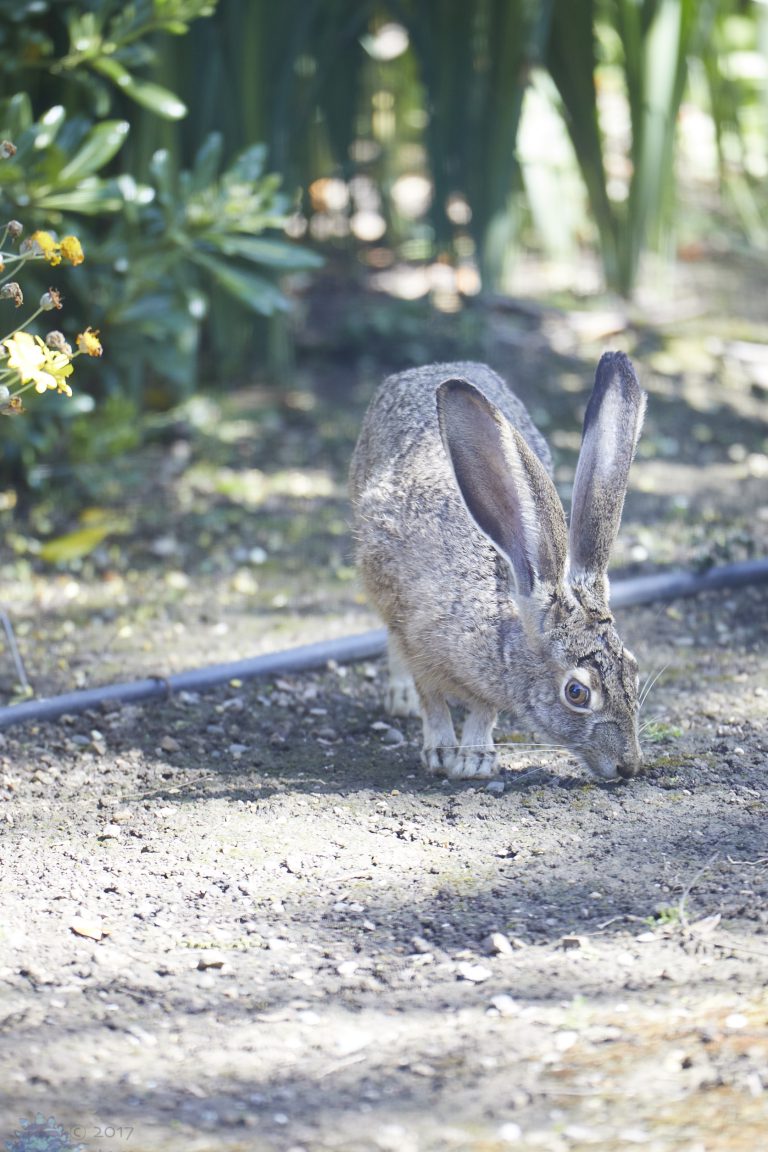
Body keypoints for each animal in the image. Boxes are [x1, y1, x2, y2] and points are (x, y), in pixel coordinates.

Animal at [349, 353, 647, 781]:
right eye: (577, 693)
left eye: (633, 670)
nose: (629, 766)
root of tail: (432, 367)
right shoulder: (418, 640)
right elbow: (431, 698)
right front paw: (441, 752)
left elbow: (483, 709)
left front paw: (476, 758)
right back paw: (399, 698)